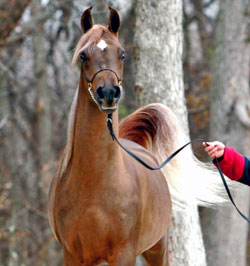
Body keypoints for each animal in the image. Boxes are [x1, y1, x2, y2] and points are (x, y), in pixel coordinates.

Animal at [48, 6, 225, 266]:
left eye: (122, 54)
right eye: (83, 55)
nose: (108, 93)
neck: (94, 184)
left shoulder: (124, 253)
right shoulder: (72, 255)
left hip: (157, 248)